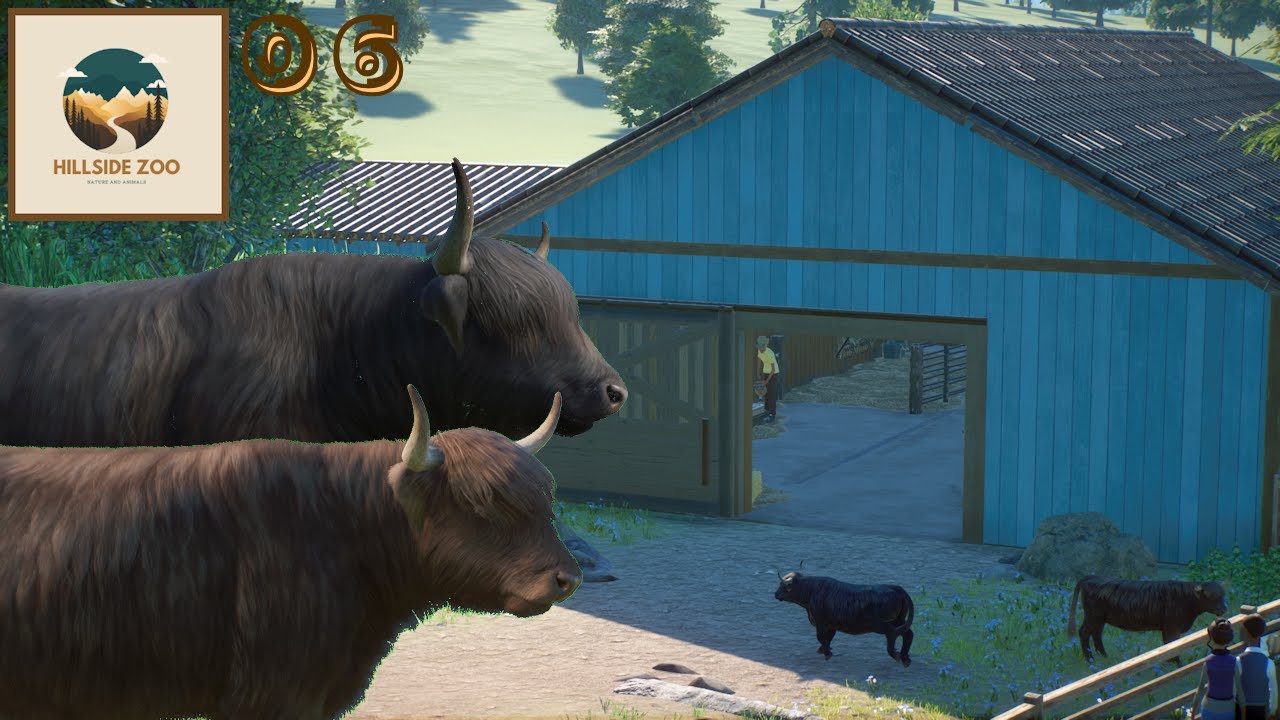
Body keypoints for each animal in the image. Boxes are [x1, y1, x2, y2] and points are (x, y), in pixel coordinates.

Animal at [773, 567, 916, 667]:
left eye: (782, 586)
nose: (775, 594)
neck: (811, 591)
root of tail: (896, 588)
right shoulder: (831, 624)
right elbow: (828, 638)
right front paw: (824, 650)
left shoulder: (821, 622)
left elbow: (821, 637)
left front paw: (827, 653)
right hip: (898, 620)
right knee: (908, 634)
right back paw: (905, 658)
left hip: (880, 624)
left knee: (892, 633)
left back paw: (896, 655)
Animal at [1066, 574, 1229, 664]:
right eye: (1210, 596)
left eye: (1222, 595)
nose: (1223, 609)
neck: (1186, 599)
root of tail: (1092, 577)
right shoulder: (1172, 627)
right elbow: (1172, 644)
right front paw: (1177, 663)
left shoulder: (1166, 627)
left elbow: (1166, 644)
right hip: (1093, 616)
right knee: (1084, 633)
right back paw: (1090, 659)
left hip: (1099, 619)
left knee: (1096, 634)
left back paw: (1104, 656)